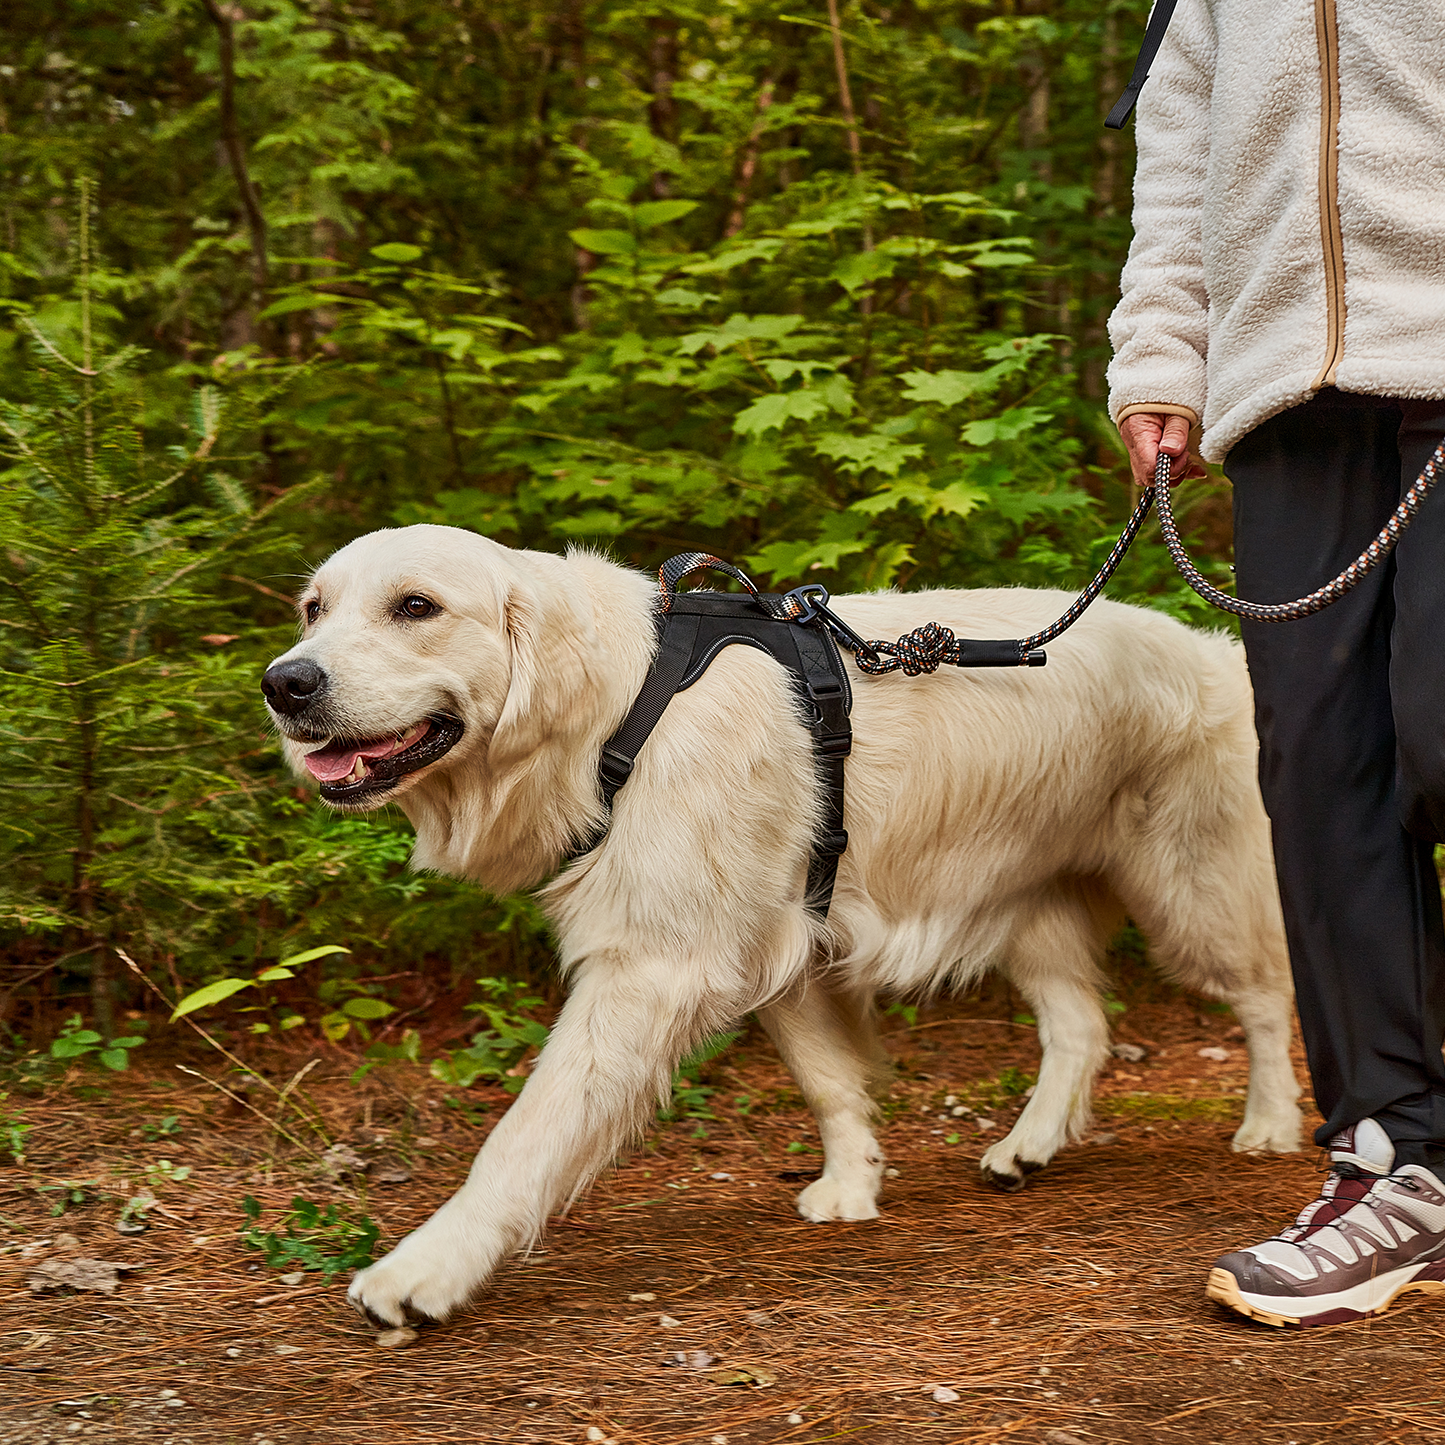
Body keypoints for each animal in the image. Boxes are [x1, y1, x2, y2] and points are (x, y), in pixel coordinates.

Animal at [262, 525, 1312, 1323]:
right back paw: (1029, 1144)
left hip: (1191, 896)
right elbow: (831, 1084)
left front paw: (425, 1269)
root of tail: (1212, 650)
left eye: (416, 607)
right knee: (1080, 1026)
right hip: (1025, 907)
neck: (622, 708)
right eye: (314, 608)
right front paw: (852, 1185)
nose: (285, 685)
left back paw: (1268, 1122)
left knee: (1267, 997)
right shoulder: (786, 948)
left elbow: (521, 1137)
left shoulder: (653, 969)